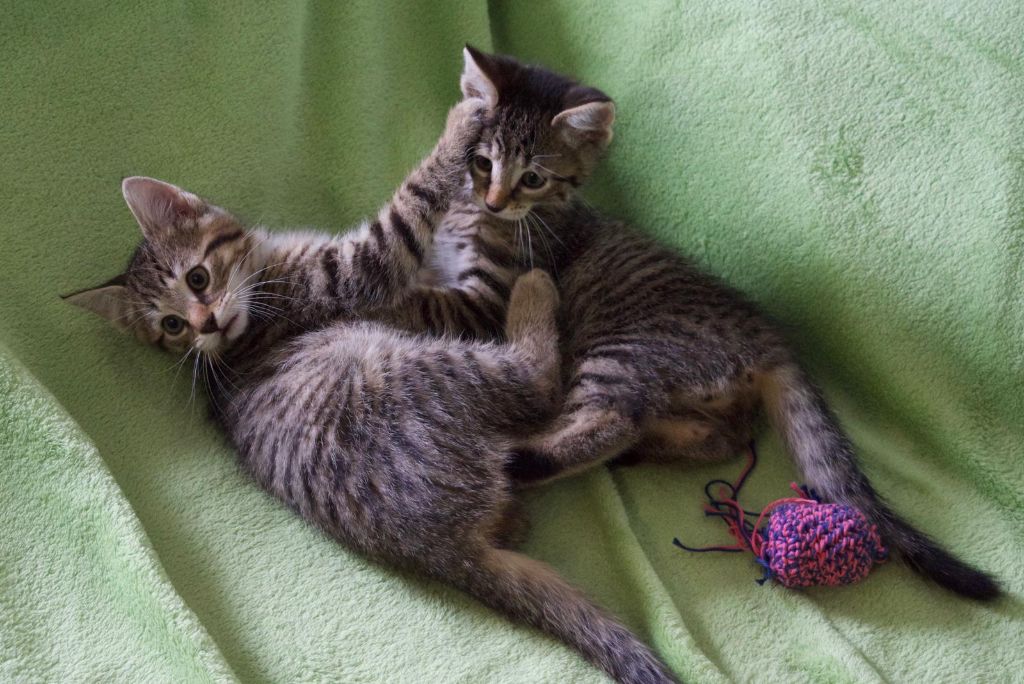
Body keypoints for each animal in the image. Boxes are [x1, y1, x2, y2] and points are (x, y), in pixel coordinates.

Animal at [61, 101, 671, 684]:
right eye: (171, 327)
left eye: (196, 279)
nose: (203, 324)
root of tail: (448, 550)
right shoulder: (358, 271)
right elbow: (410, 208)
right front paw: (461, 128)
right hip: (418, 366)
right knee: (538, 384)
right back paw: (536, 293)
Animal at [417, 46, 999, 597]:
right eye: (482, 162)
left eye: (533, 177)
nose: (496, 200)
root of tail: (768, 336)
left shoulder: (489, 295)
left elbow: (427, 301)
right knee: (721, 437)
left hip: (619, 350)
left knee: (612, 420)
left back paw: (528, 459)